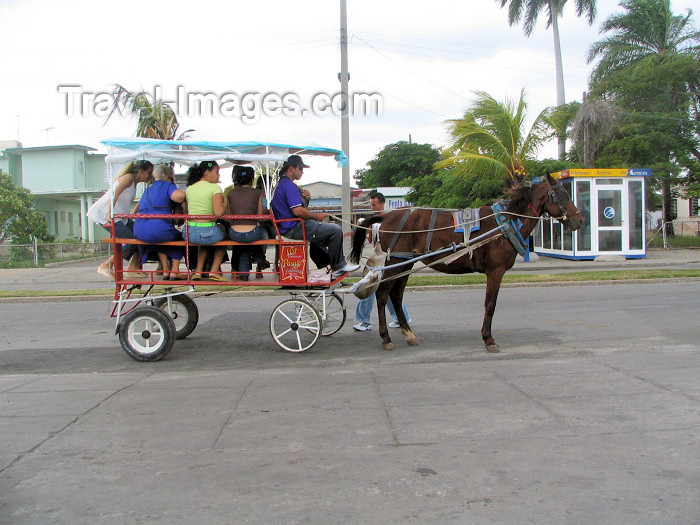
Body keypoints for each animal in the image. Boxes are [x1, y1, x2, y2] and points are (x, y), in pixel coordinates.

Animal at [350, 173, 584, 352]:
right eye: (562, 194)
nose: (579, 219)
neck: (505, 223)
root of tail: (387, 216)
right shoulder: (495, 271)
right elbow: (490, 304)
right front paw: (488, 339)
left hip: (405, 263)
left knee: (396, 296)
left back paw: (408, 333)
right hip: (397, 261)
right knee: (382, 295)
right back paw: (386, 337)